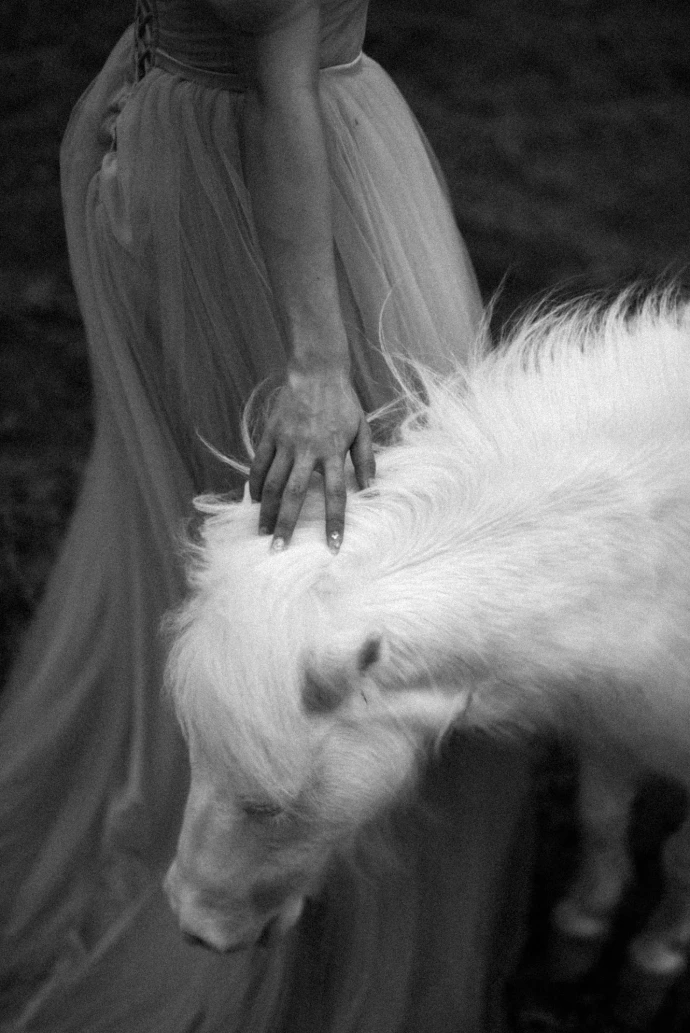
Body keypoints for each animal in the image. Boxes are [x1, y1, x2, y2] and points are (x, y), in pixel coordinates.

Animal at [163, 291, 690, 1024]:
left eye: (267, 806)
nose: (193, 924)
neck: (656, 565)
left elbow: (678, 863)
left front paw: (651, 966)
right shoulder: (612, 726)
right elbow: (601, 820)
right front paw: (577, 938)